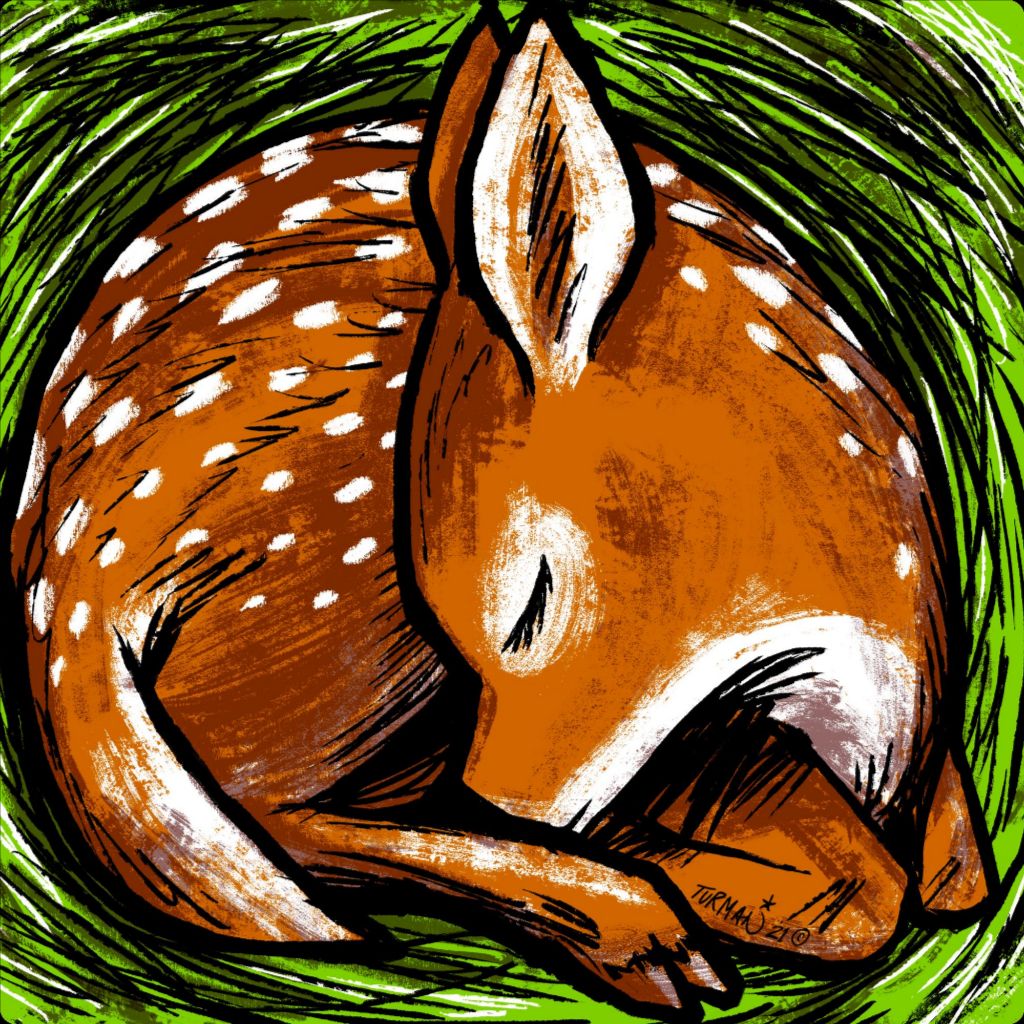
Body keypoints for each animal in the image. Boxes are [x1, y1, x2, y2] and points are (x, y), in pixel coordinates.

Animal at [7, 5, 995, 1020]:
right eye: (485, 613)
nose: (492, 803)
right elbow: (863, 896)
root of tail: (62, 585)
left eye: (533, 598)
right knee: (270, 809)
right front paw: (680, 886)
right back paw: (632, 926)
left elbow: (952, 873)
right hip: (332, 612)